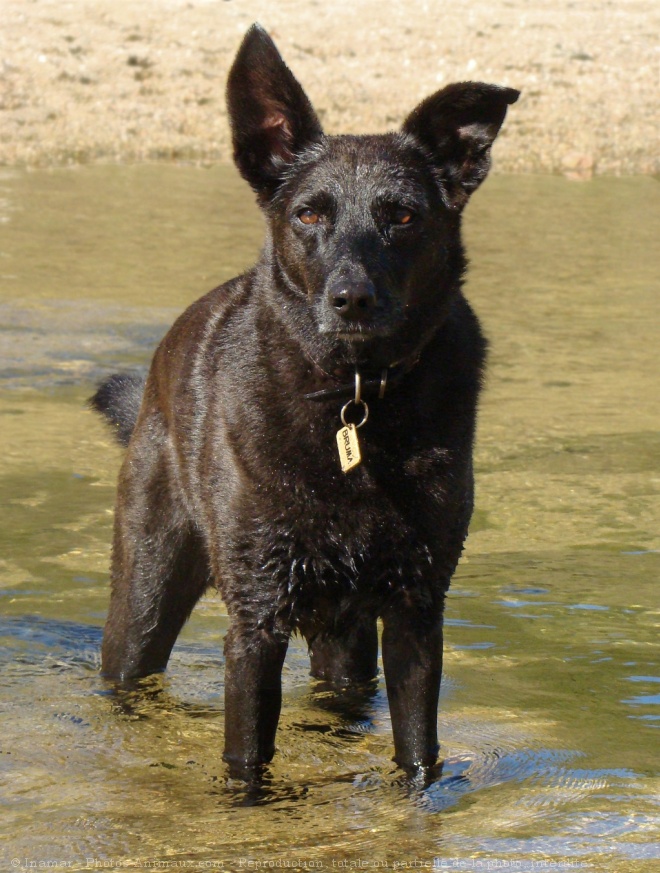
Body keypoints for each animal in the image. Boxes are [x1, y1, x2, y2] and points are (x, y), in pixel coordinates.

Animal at [91, 25, 516, 776]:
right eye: (309, 213)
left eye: (403, 215)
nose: (351, 299)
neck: (354, 399)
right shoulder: (256, 618)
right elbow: (247, 766)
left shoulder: (415, 611)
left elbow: (418, 760)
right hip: (146, 594)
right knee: (127, 666)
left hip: (345, 636)